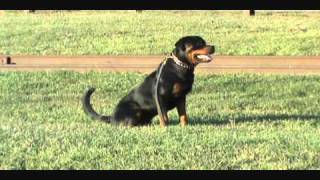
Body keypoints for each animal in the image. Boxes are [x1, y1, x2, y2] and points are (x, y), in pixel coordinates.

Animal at [82, 35, 215, 127]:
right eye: (198, 44)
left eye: (204, 42)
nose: (213, 47)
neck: (181, 67)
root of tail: (111, 117)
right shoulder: (160, 97)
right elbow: (164, 117)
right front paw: (165, 128)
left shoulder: (181, 97)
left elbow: (183, 116)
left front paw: (184, 127)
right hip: (135, 110)